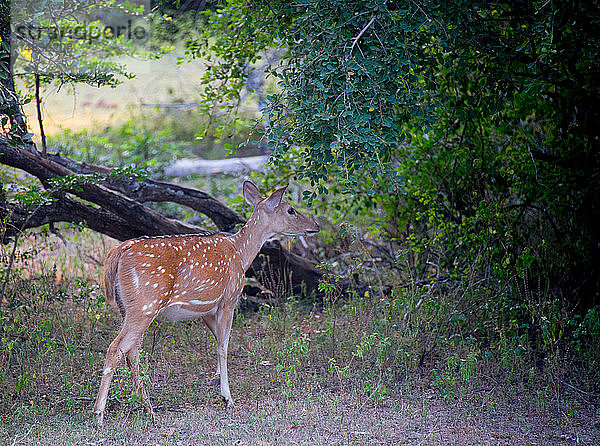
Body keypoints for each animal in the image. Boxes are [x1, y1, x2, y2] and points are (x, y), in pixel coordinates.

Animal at [92, 181, 322, 426]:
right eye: (290, 210)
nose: (315, 226)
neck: (241, 254)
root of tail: (117, 252)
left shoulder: (207, 309)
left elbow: (217, 341)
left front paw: (216, 381)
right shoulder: (229, 299)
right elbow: (223, 346)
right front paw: (227, 397)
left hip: (127, 307)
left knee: (132, 351)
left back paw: (149, 409)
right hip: (145, 304)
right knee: (116, 348)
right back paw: (99, 415)